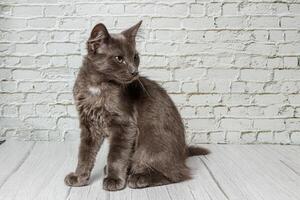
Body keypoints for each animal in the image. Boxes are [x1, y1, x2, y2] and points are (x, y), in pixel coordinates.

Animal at [63, 20, 209, 191]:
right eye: (119, 58)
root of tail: (183, 153)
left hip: (150, 144)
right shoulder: (89, 125)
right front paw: (79, 177)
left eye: (135, 57)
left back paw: (140, 177)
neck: (97, 86)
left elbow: (116, 156)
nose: (134, 72)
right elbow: (85, 154)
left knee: (177, 174)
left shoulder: (124, 125)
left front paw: (114, 179)